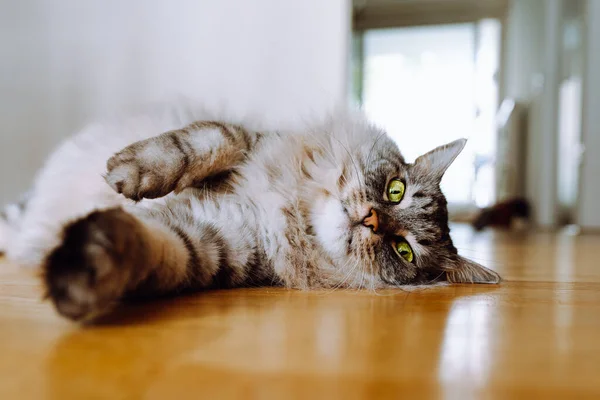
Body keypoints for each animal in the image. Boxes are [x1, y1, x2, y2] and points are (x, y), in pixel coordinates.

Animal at [0, 103, 500, 322]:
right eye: (396, 191)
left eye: (403, 251)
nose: (371, 220)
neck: (291, 215)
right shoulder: (246, 140)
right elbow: (205, 141)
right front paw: (131, 173)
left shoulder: (211, 245)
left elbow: (151, 250)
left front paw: (82, 268)